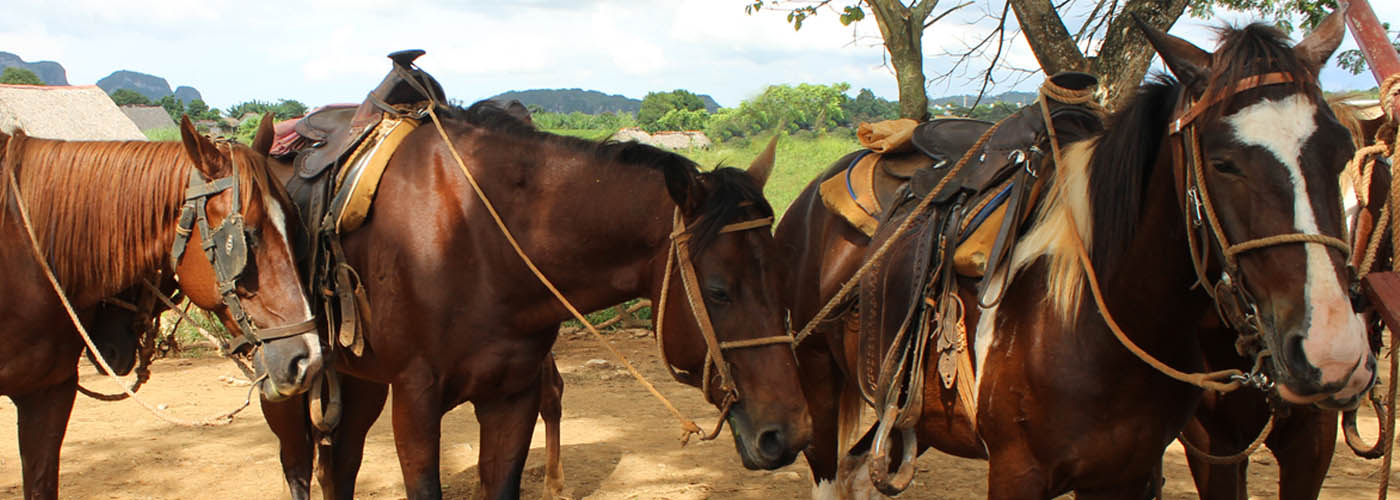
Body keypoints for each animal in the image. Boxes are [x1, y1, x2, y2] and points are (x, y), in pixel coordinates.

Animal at [263, 101, 812, 498]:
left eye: (785, 276)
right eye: (718, 291)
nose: (790, 433)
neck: (475, 237)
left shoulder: (513, 396)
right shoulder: (415, 399)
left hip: (360, 382)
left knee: (340, 465)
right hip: (286, 382)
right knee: (299, 468)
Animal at [784, 13, 1372, 495]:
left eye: (1343, 150)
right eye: (1223, 161)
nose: (1334, 354)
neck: (1096, 318)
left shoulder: (1127, 475)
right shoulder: (1018, 472)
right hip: (817, 377)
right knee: (830, 474)